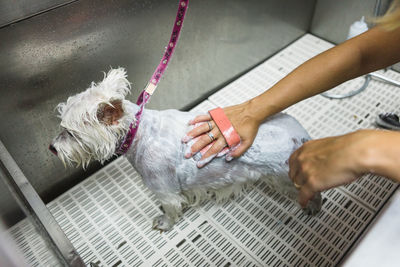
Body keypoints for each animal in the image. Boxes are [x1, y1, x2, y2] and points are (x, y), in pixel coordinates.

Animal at [49, 68, 322, 231]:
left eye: (69, 133)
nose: (51, 148)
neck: (142, 134)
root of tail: (301, 137)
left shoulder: (165, 190)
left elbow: (171, 210)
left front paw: (164, 223)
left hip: (288, 178)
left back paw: (313, 208)